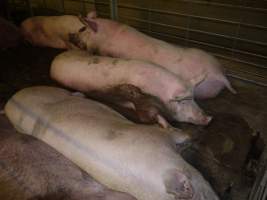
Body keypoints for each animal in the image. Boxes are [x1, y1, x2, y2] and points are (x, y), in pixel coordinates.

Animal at [4, 86, 220, 200]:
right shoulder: (152, 138)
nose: (210, 119)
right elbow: (175, 133)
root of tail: (11, 99)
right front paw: (170, 126)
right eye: (204, 194)